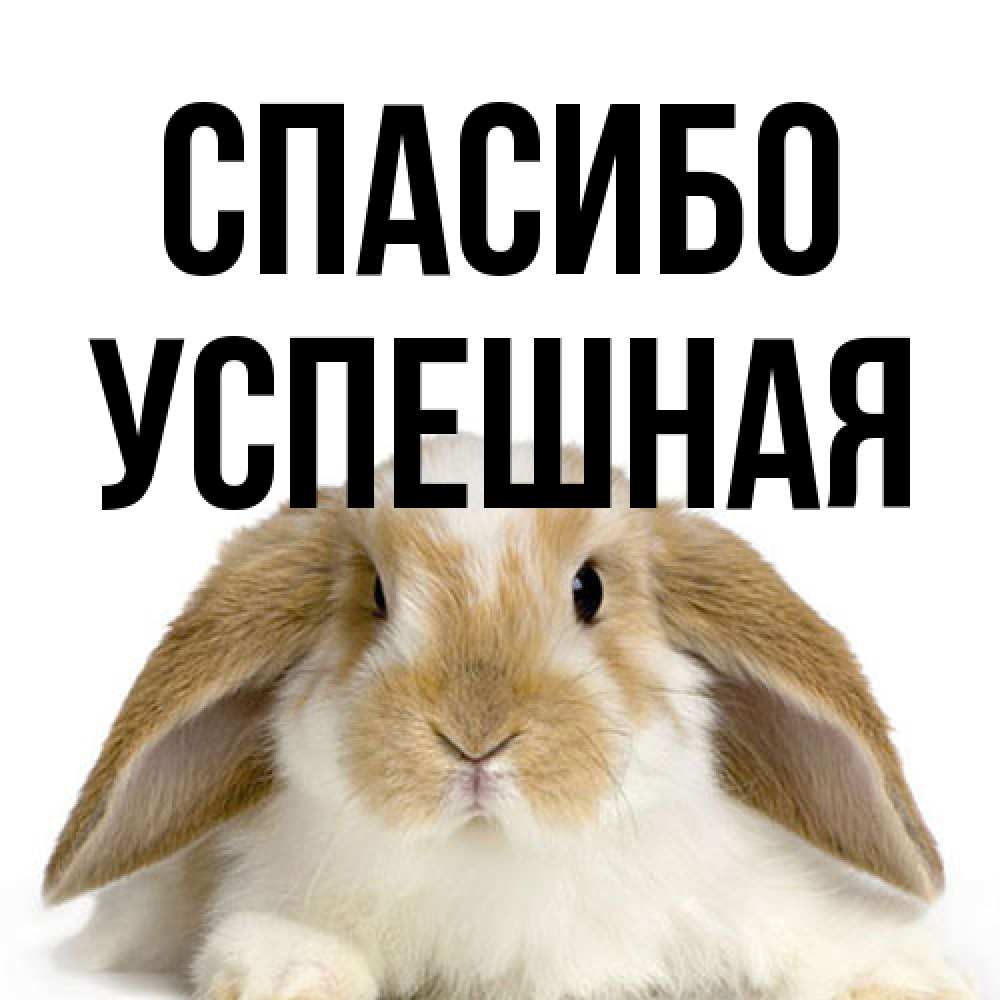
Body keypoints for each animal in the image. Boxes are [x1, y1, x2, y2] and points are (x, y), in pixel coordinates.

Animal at [45, 434, 975, 1000]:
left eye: (589, 589)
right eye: (375, 596)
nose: (475, 737)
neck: (495, 856)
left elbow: (817, 939)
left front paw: (911, 978)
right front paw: (292, 977)